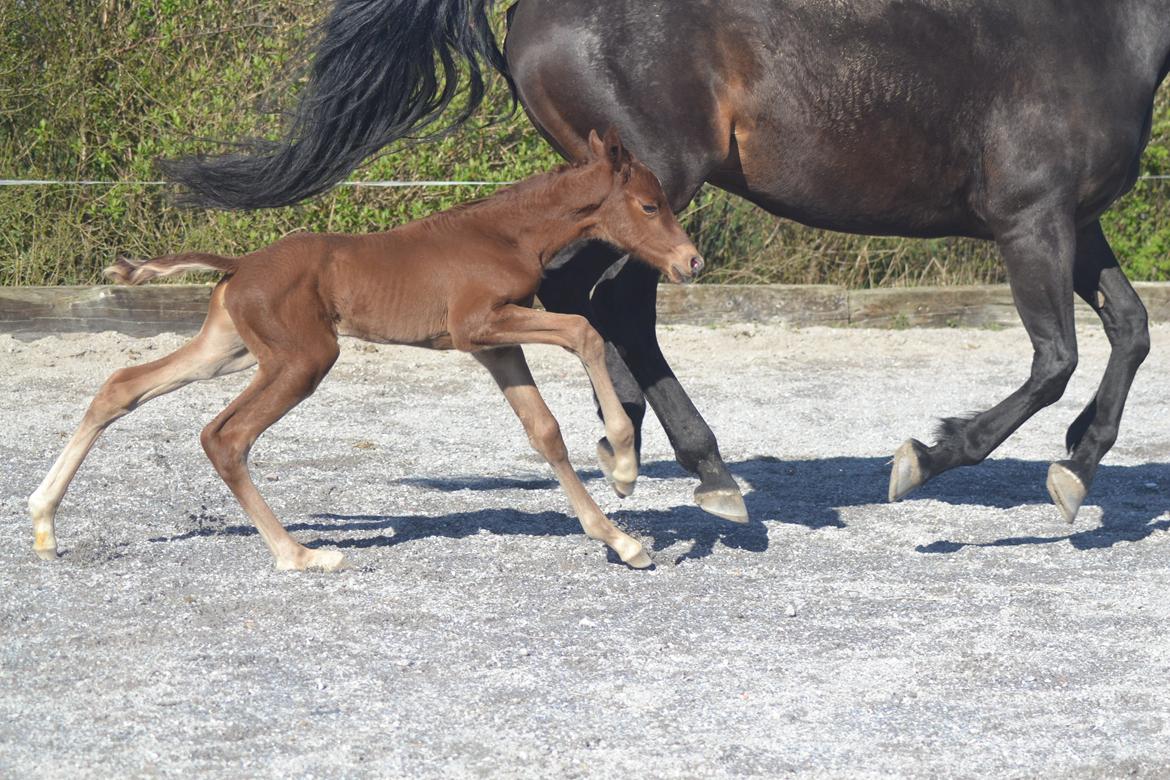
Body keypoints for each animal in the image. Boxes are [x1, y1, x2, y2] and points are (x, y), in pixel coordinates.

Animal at [29, 129, 702, 573]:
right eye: (649, 205)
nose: (691, 262)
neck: (505, 233)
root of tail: (239, 264)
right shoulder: (477, 325)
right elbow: (586, 331)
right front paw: (622, 466)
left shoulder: (495, 343)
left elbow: (544, 431)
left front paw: (622, 541)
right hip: (302, 360)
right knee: (225, 436)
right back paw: (299, 555)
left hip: (229, 350)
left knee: (122, 385)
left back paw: (42, 522)